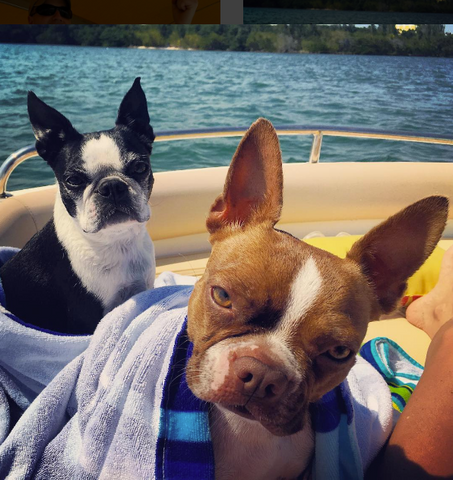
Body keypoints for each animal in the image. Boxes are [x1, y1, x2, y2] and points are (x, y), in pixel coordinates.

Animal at [0, 78, 155, 334]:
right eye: (73, 180)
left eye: (141, 167)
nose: (112, 186)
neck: (116, 241)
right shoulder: (87, 321)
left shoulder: (142, 288)